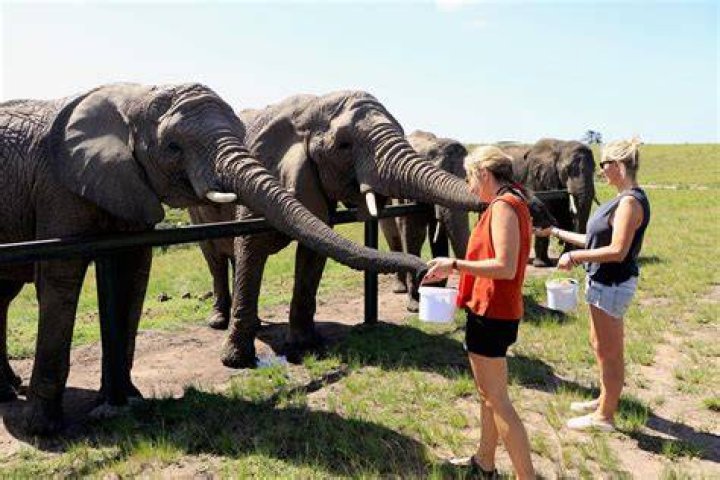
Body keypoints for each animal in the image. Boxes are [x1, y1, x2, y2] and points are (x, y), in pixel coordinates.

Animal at [0, 84, 430, 435]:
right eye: (344, 145)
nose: (427, 272)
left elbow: (136, 271)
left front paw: (307, 347)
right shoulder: (58, 190)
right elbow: (63, 276)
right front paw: (44, 430)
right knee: (214, 257)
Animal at [379, 130, 470, 312]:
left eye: (466, 181)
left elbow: (439, 234)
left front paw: (436, 289)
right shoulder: (407, 190)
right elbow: (414, 234)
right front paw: (414, 306)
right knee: (393, 237)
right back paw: (400, 289)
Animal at [507, 138, 596, 267]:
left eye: (594, 170)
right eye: (567, 170)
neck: (561, 145)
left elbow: (565, 214)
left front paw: (563, 257)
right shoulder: (536, 178)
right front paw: (541, 264)